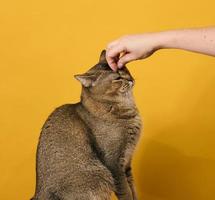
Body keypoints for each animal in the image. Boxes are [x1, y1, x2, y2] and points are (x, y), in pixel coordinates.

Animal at [31, 50, 142, 200]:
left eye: (124, 69)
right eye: (117, 78)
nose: (130, 79)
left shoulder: (127, 163)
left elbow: (132, 188)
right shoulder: (114, 164)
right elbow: (126, 191)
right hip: (100, 175)